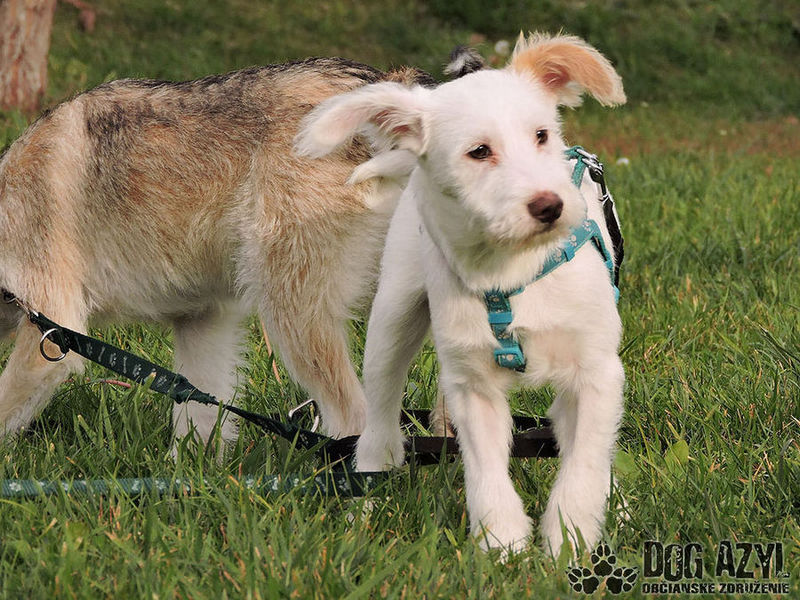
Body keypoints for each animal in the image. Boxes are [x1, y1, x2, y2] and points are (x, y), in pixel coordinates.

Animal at [0, 57, 436, 450]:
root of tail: (388, 82)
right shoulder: (203, 320)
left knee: (355, 422)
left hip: (293, 316)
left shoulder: (52, 333)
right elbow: (200, 420)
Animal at [296, 33, 627, 555]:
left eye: (542, 136)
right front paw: (504, 546)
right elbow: (488, 472)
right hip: (392, 320)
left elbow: (584, 463)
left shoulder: (596, 373)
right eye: (478, 151)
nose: (550, 206)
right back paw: (363, 506)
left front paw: (567, 541)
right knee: (379, 429)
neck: (512, 268)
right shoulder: (474, 388)